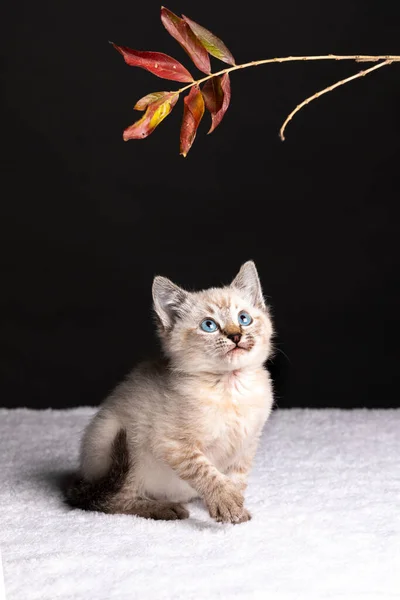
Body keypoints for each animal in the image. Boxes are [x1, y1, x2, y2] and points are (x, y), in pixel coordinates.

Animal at [66, 260, 276, 524]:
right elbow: (205, 471)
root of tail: (84, 479)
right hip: (124, 448)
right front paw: (226, 502)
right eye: (209, 325)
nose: (236, 335)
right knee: (113, 501)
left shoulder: (247, 444)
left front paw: (237, 509)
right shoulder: (173, 443)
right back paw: (165, 509)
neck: (231, 386)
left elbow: (238, 479)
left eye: (244, 318)